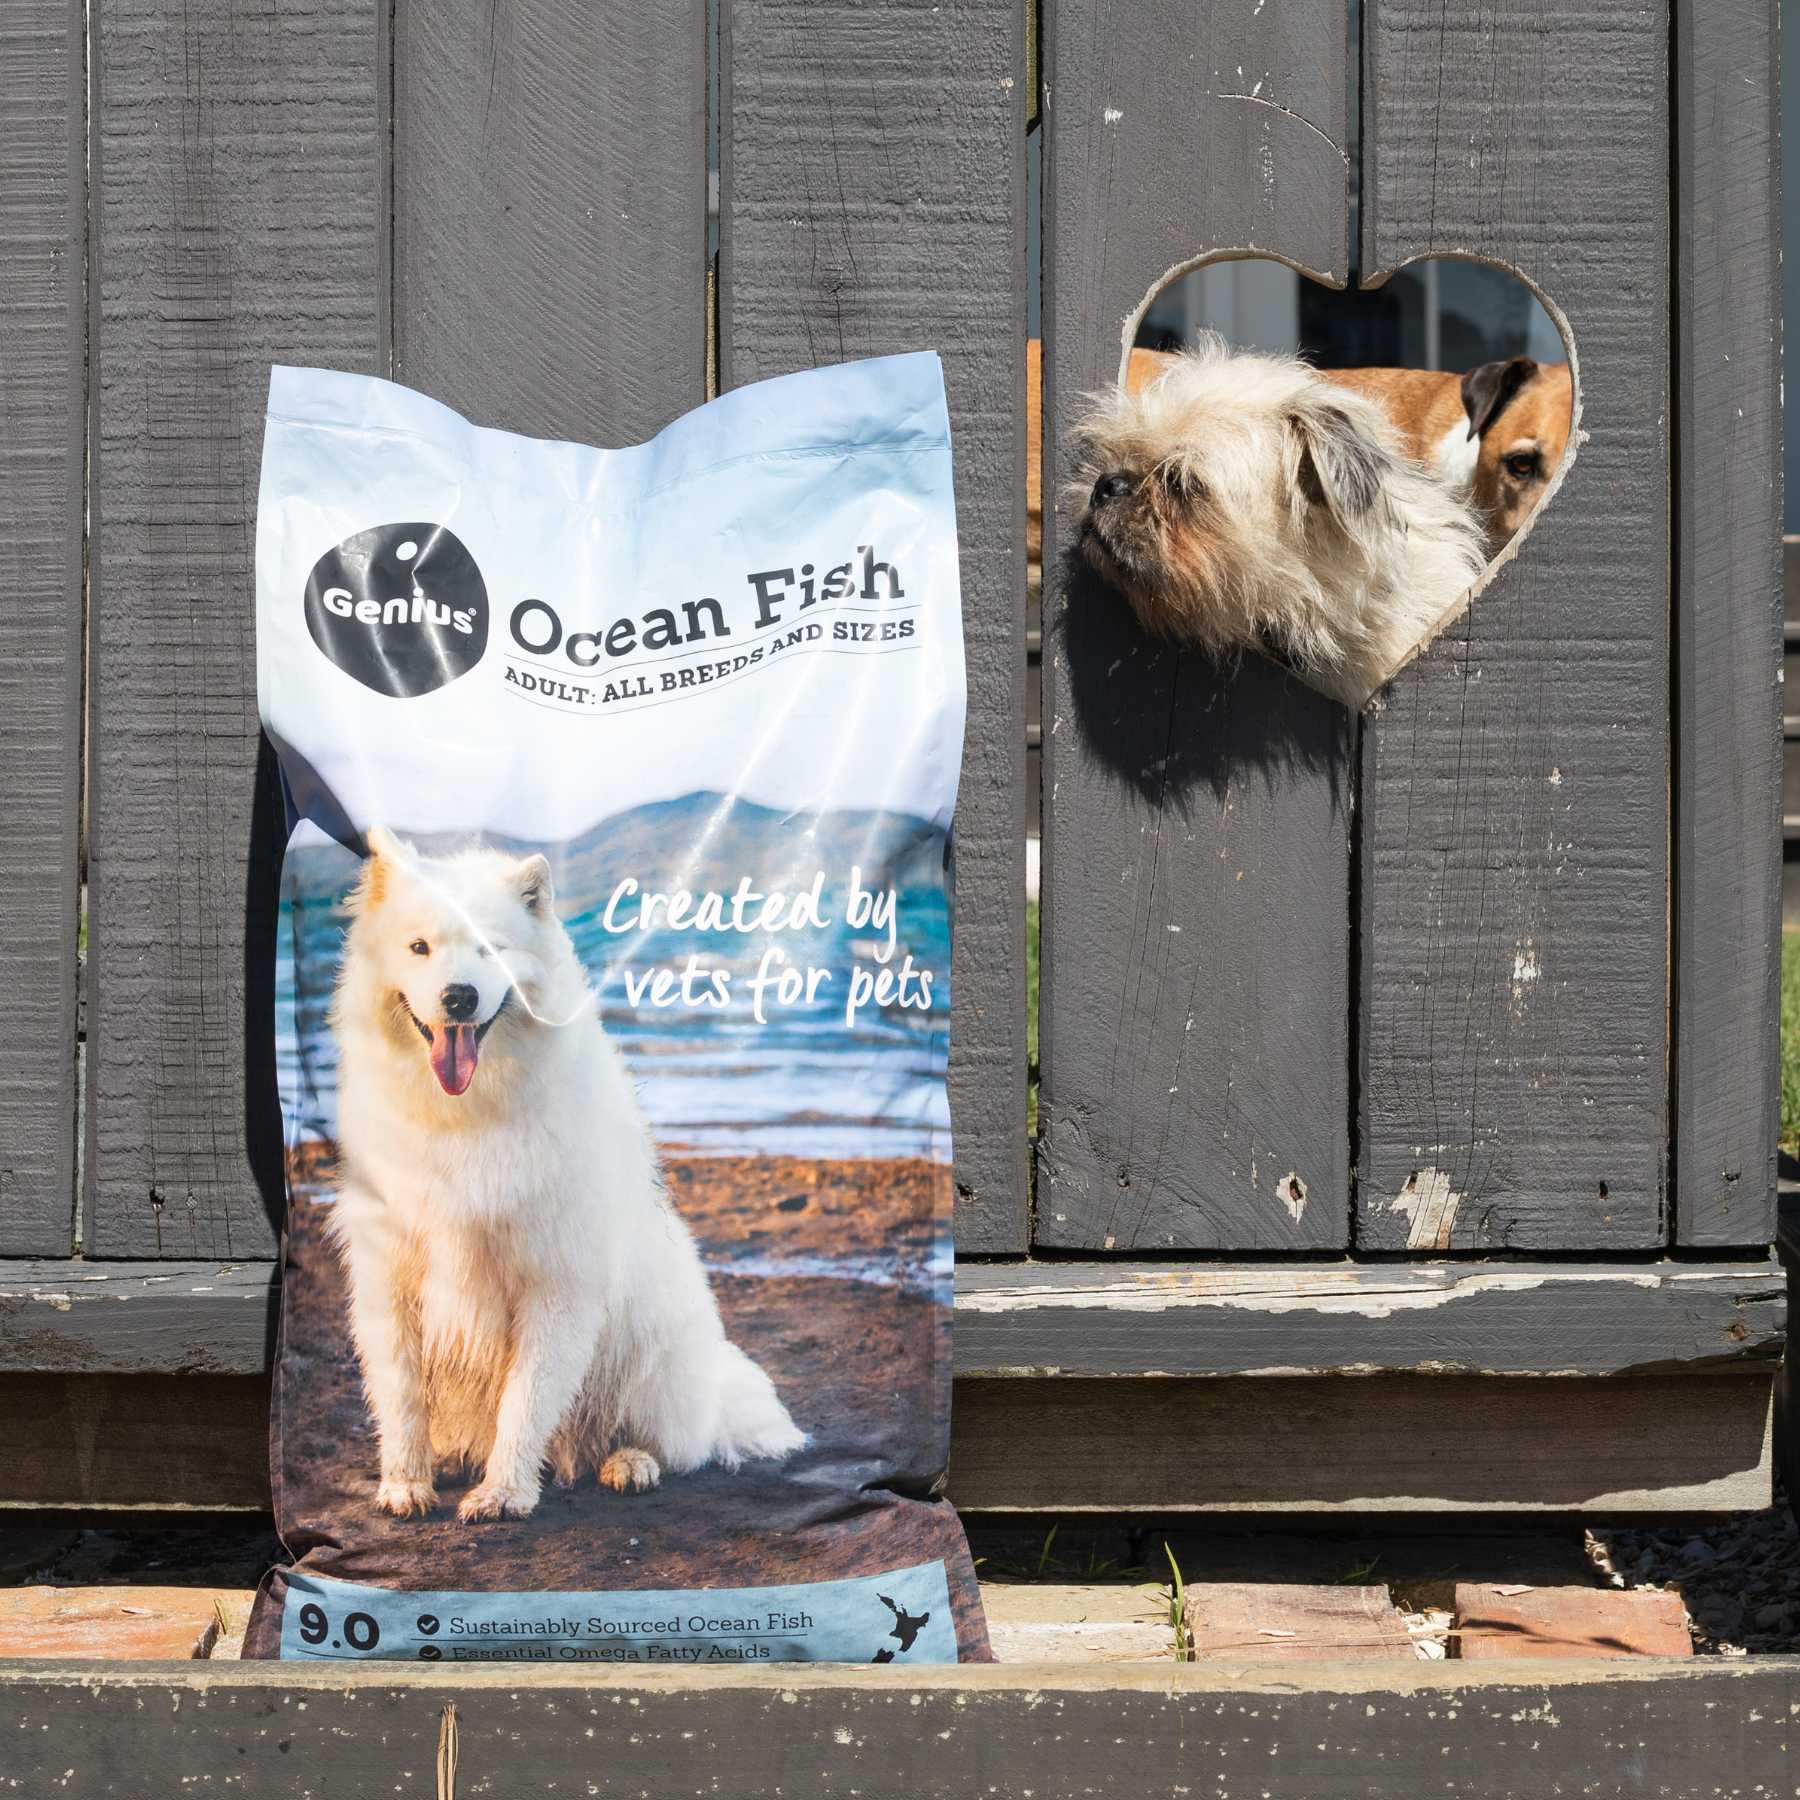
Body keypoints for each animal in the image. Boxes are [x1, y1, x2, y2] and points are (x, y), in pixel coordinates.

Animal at [329, 828, 802, 1519]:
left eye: (491, 949)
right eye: (419, 948)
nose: (459, 996)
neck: (466, 1119)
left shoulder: (556, 1283)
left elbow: (525, 1402)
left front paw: (503, 1493)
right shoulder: (391, 1278)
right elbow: (402, 1395)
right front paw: (406, 1483)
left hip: (648, 1342)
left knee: (660, 1441)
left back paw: (628, 1462)